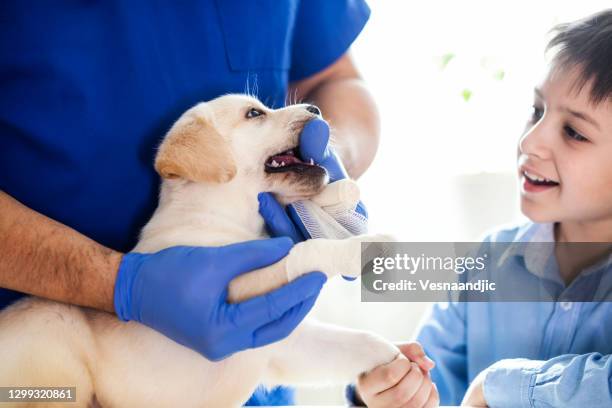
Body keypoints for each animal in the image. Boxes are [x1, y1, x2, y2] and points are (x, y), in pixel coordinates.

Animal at [0, 95, 400, 408]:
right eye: (254, 114)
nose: (316, 108)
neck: (226, 219)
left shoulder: (283, 343)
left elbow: (356, 342)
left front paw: (399, 363)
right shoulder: (236, 290)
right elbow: (305, 251)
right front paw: (361, 247)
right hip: (53, 338)